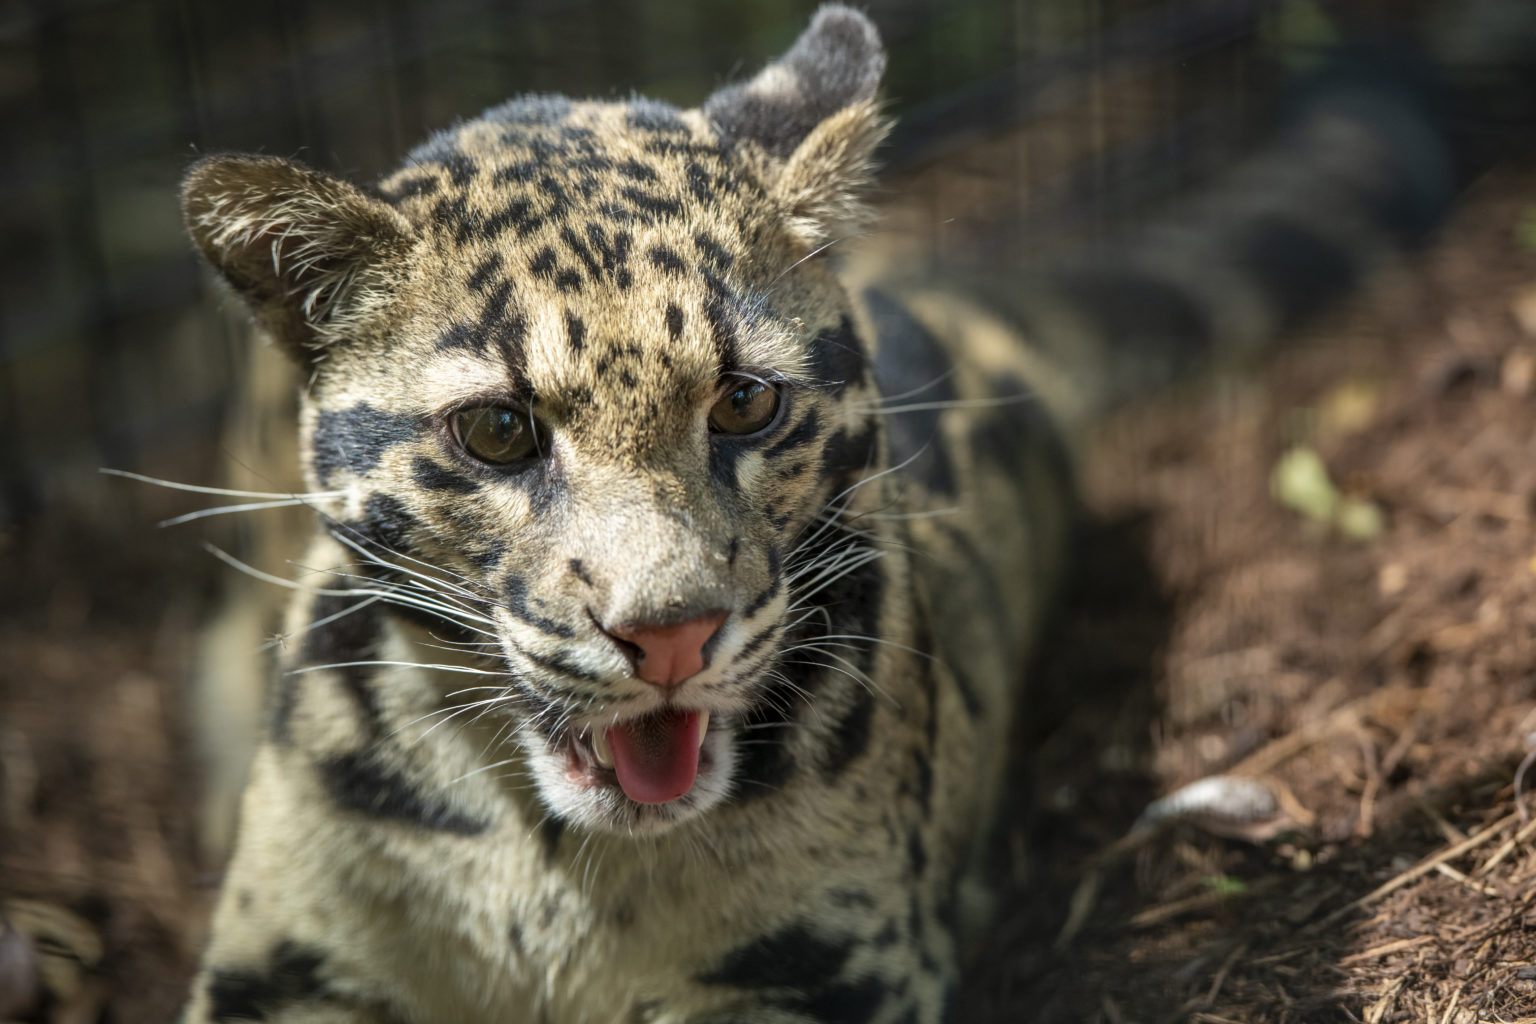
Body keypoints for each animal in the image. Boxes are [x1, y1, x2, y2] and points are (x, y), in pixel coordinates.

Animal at [174, 4, 1456, 1019]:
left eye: (745, 402)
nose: (671, 633)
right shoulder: (288, 970)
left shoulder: (830, 972)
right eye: (497, 430)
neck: (554, 872)